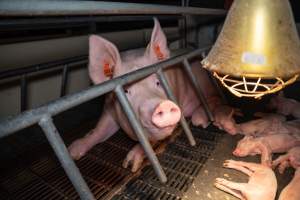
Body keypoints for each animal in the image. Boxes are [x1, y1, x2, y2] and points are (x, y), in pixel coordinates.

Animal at [68, 18, 223, 172]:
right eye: (126, 91)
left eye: (158, 82)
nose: (163, 105)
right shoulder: (109, 108)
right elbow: (100, 129)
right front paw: (72, 152)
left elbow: (149, 141)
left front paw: (130, 165)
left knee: (215, 98)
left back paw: (199, 120)